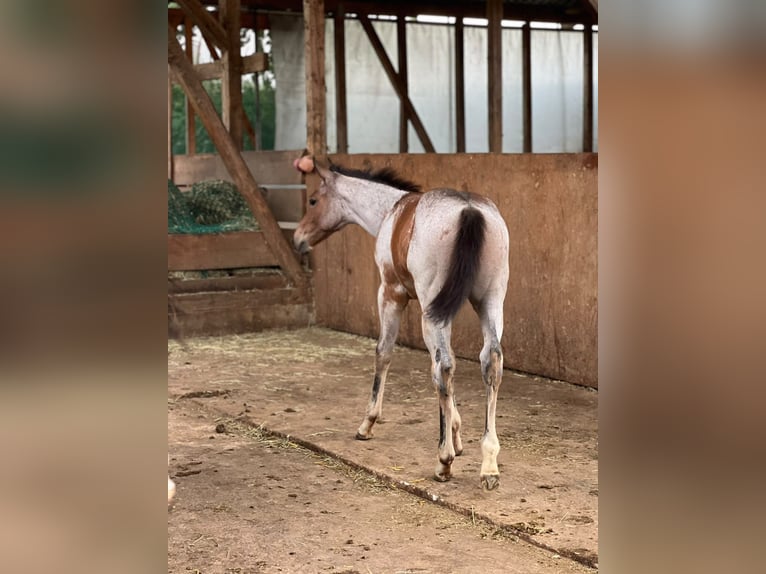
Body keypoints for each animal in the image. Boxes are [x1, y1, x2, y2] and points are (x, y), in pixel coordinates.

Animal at [293, 156, 510, 490]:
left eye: (314, 200)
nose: (298, 238)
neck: (389, 211)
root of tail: (469, 210)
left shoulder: (391, 294)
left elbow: (384, 353)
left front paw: (368, 423)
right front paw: (457, 435)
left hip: (432, 311)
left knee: (443, 367)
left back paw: (443, 461)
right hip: (490, 301)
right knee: (490, 362)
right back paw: (488, 465)